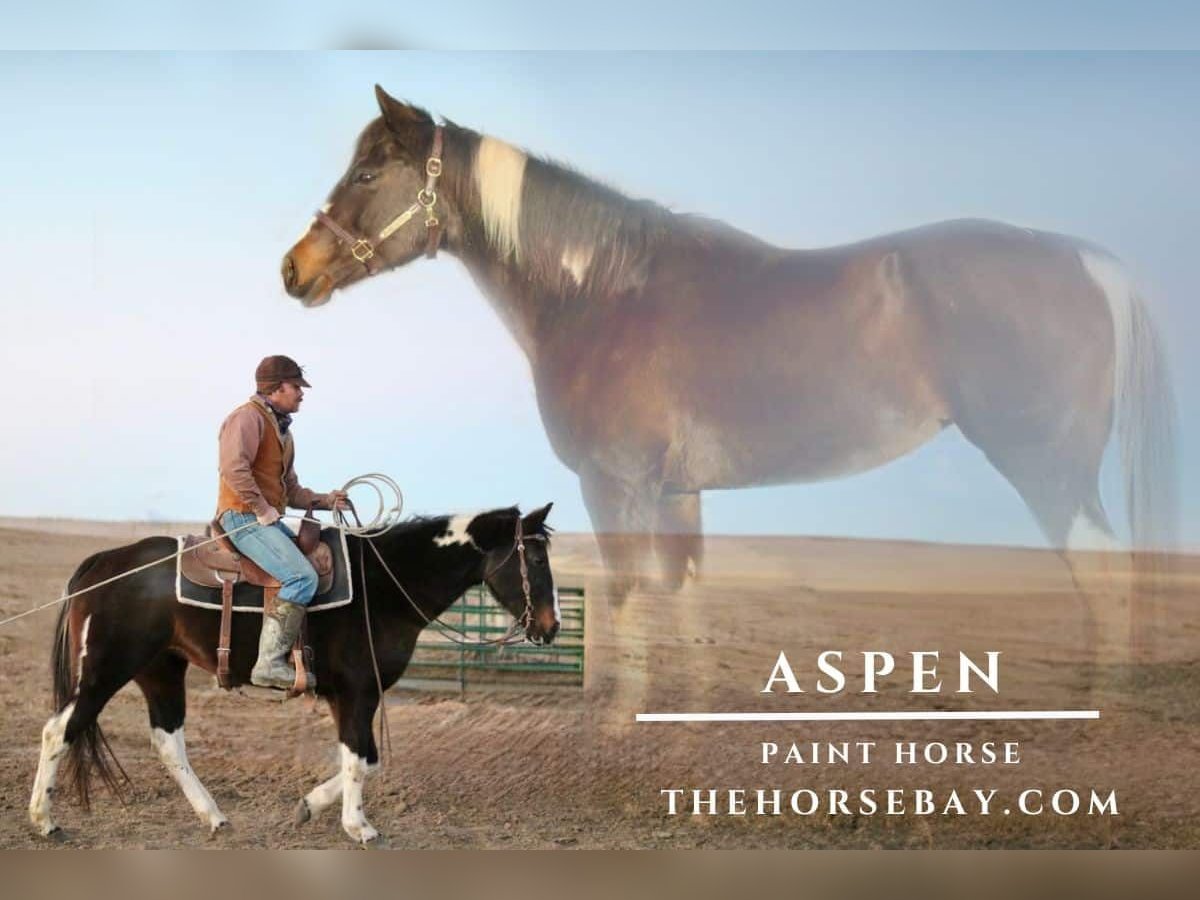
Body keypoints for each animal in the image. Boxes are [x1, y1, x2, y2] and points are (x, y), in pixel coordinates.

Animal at [29, 503, 558, 845]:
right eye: (534, 559)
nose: (550, 628)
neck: (383, 585)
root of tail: (103, 563)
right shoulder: (359, 692)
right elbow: (361, 759)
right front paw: (358, 826)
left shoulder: (347, 696)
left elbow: (367, 759)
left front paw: (309, 806)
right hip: (103, 672)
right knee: (59, 730)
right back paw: (44, 820)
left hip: (160, 670)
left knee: (167, 740)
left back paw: (214, 816)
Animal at [281, 87, 1175, 610]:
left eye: (368, 174)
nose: (295, 269)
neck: (601, 291)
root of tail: (1088, 262)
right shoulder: (679, 496)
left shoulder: (614, 489)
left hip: (1049, 471)